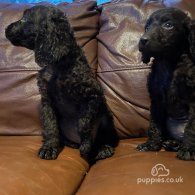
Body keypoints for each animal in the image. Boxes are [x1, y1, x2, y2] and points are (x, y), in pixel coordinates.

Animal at [5, 5, 119, 163]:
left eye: (25, 19)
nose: (5, 28)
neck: (58, 66)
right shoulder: (47, 102)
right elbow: (51, 126)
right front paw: (49, 148)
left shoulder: (93, 96)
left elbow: (83, 123)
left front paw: (86, 147)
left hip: (106, 118)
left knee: (106, 137)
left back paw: (103, 149)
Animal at [136, 7, 195, 160]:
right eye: (147, 27)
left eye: (168, 25)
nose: (143, 40)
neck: (168, 62)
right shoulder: (156, 101)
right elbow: (154, 124)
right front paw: (151, 144)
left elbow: (191, 127)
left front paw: (188, 150)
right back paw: (172, 144)